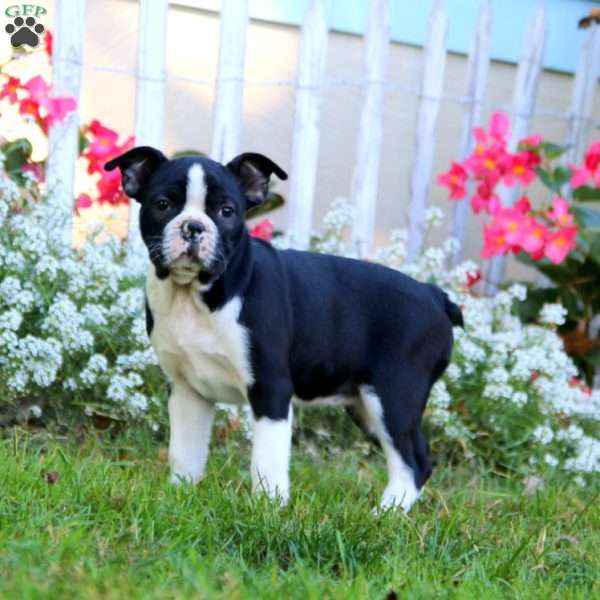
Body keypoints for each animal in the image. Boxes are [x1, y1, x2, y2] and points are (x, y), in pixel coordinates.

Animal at [105, 146, 462, 510]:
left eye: (226, 211)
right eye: (163, 205)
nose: (193, 227)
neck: (195, 295)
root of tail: (434, 295)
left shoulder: (270, 389)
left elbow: (267, 459)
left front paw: (268, 509)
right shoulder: (187, 390)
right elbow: (185, 451)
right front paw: (180, 495)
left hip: (393, 396)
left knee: (413, 462)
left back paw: (383, 514)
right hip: (365, 405)